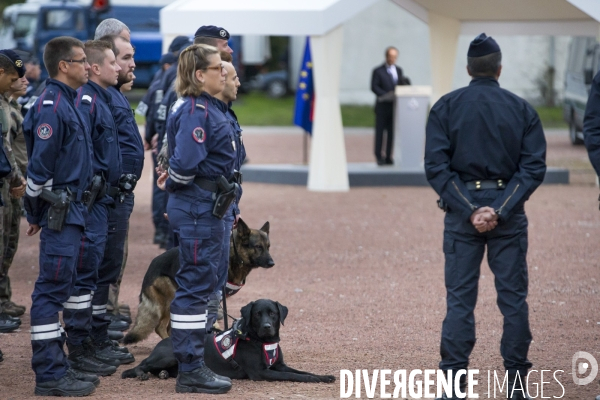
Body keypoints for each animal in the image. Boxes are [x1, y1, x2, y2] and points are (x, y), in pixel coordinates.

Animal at [122, 300, 338, 384]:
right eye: (258, 314)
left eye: (273, 314)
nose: (267, 326)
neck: (262, 341)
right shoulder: (262, 372)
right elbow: (294, 376)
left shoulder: (279, 365)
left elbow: (302, 372)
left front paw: (324, 376)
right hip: (166, 356)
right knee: (140, 365)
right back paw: (140, 373)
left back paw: (164, 374)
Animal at [124, 219, 274, 344]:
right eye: (258, 247)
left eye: (268, 246)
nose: (272, 263)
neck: (234, 255)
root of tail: (149, 270)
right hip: (172, 300)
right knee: (161, 328)